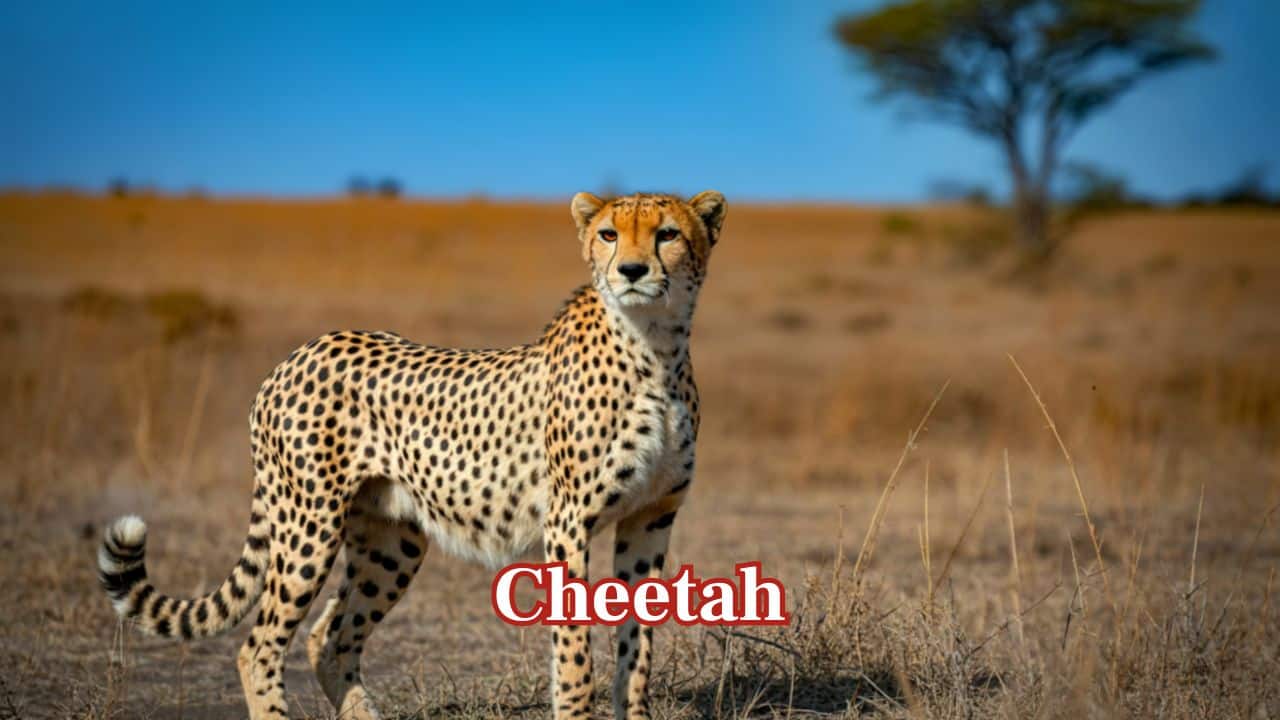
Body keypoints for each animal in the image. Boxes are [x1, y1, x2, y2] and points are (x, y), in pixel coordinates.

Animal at [97, 189, 727, 719]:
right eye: (608, 234)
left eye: (668, 234)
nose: (631, 271)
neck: (655, 348)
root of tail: (295, 355)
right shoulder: (568, 522)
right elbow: (575, 651)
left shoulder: (651, 517)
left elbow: (637, 646)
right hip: (309, 525)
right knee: (259, 646)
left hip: (391, 538)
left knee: (331, 637)